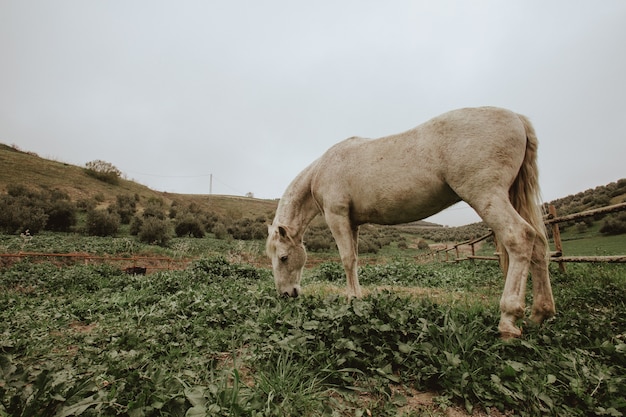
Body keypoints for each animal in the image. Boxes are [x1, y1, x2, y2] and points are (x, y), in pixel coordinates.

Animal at [266, 106, 552, 338]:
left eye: (283, 257)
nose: (286, 294)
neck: (323, 169)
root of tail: (517, 118)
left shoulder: (337, 216)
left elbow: (347, 260)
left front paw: (352, 299)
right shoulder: (352, 222)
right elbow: (355, 259)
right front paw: (357, 299)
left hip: (486, 195)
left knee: (520, 237)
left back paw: (508, 319)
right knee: (538, 245)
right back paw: (540, 314)